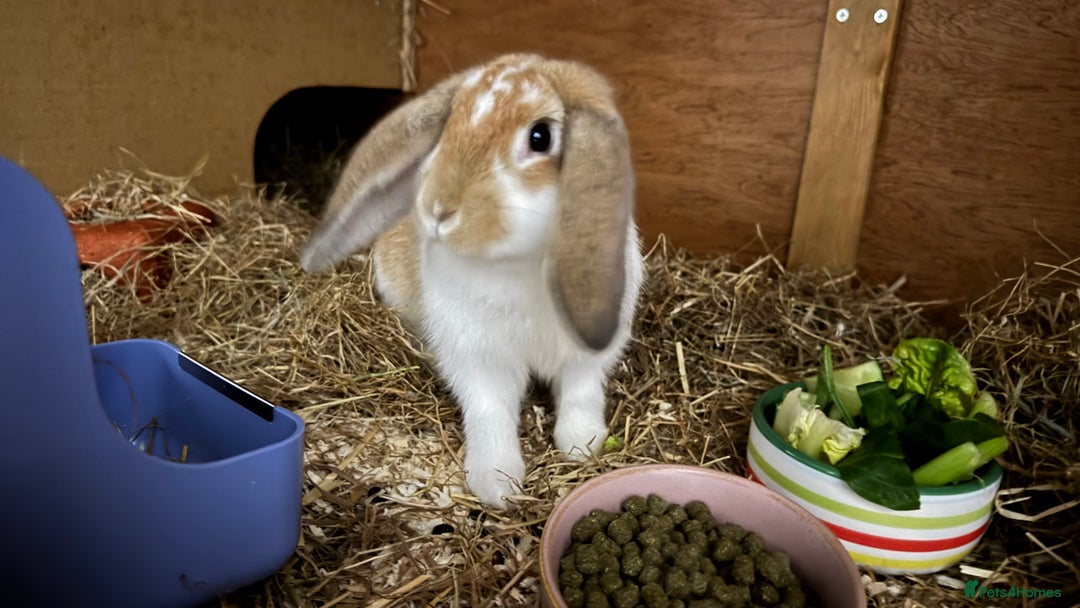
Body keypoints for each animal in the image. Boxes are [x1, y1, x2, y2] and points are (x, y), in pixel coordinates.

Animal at [300, 53, 645, 507]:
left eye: (540, 137)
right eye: (450, 123)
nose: (439, 209)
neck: (516, 264)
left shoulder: (585, 360)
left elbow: (580, 395)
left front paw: (581, 446)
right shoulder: (478, 359)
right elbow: (490, 413)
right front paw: (496, 486)